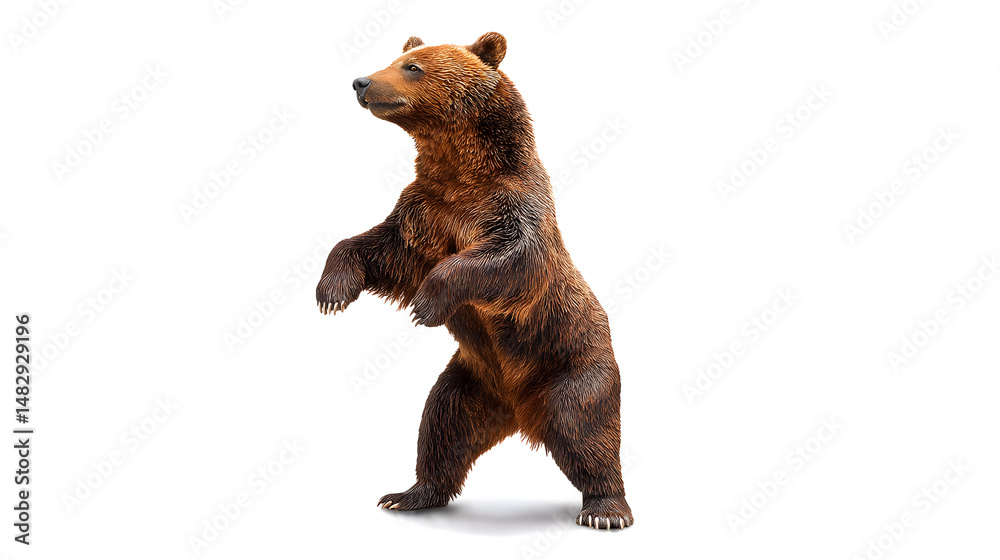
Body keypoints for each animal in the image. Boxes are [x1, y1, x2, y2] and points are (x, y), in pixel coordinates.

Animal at [316, 32, 633, 530]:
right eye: (398, 58)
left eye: (413, 67)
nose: (361, 81)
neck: (461, 168)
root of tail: (519, 410)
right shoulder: (426, 210)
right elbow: (380, 248)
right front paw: (332, 291)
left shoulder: (511, 204)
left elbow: (510, 258)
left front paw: (425, 304)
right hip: (470, 382)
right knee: (442, 427)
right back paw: (408, 494)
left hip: (570, 366)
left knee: (585, 430)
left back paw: (606, 509)